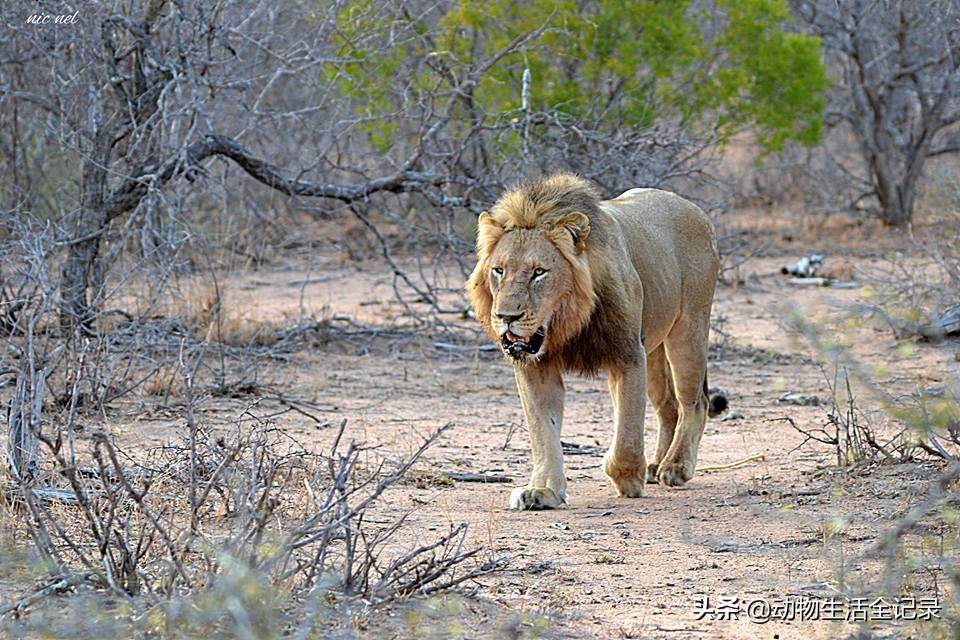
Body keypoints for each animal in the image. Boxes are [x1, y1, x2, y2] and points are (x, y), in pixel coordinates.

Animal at [466, 174, 728, 510]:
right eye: (498, 270)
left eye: (539, 272)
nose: (505, 316)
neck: (567, 322)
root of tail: (692, 207)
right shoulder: (535, 368)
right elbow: (544, 432)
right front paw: (542, 491)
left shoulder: (628, 355)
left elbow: (627, 428)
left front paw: (626, 477)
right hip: (655, 348)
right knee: (668, 406)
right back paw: (657, 464)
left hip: (689, 330)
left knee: (694, 403)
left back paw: (676, 467)